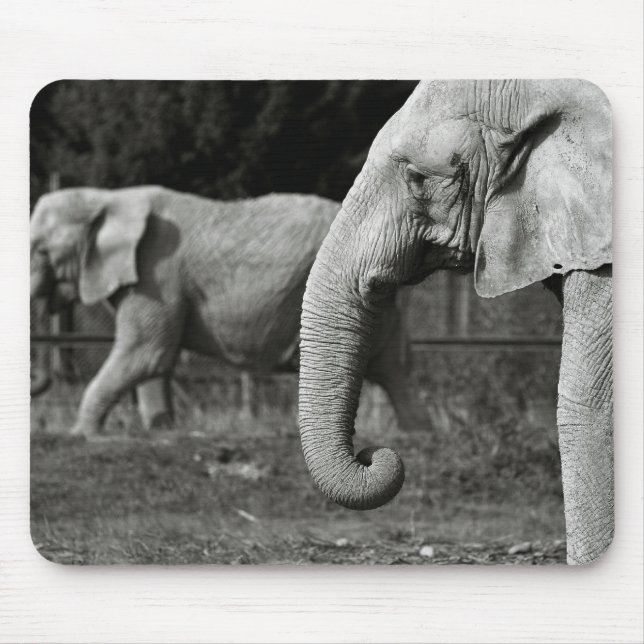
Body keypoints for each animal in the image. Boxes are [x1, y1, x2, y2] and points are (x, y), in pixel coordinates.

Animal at [30, 186, 424, 436]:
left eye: (41, 251)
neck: (110, 197)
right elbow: (156, 361)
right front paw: (162, 429)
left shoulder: (157, 272)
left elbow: (147, 352)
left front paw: (80, 434)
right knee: (392, 367)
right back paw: (418, 433)